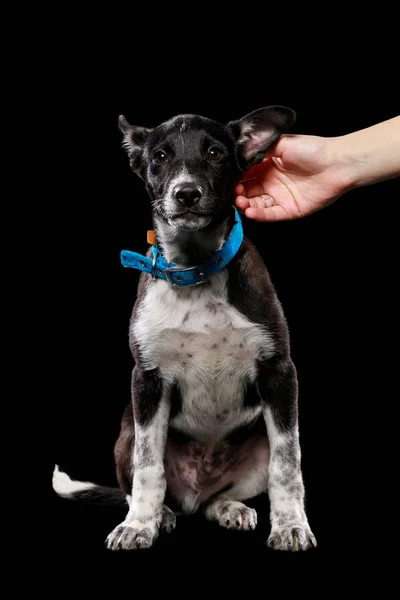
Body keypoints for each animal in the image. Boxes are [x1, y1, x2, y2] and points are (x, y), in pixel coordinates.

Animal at [53, 105, 318, 552]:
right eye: (159, 157)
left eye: (215, 153)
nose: (187, 193)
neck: (195, 271)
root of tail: (195, 491)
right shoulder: (147, 379)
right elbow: (148, 467)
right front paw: (138, 525)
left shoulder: (279, 371)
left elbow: (288, 464)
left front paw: (290, 526)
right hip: (126, 431)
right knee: (142, 484)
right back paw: (159, 513)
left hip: (254, 446)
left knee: (216, 498)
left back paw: (228, 508)